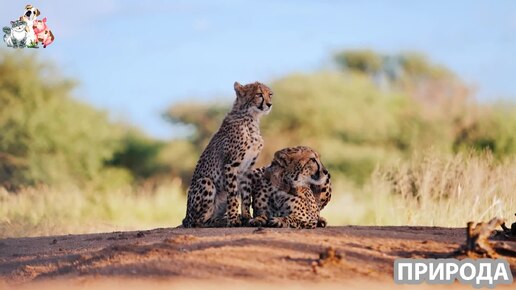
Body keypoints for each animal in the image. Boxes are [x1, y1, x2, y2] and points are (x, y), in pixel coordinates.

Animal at [182, 81, 274, 227]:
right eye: (259, 94)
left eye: (270, 94)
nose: (270, 104)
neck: (251, 118)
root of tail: (186, 218)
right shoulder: (231, 165)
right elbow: (233, 195)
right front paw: (233, 219)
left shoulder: (247, 169)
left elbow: (246, 196)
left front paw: (247, 217)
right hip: (206, 182)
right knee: (198, 221)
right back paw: (219, 221)